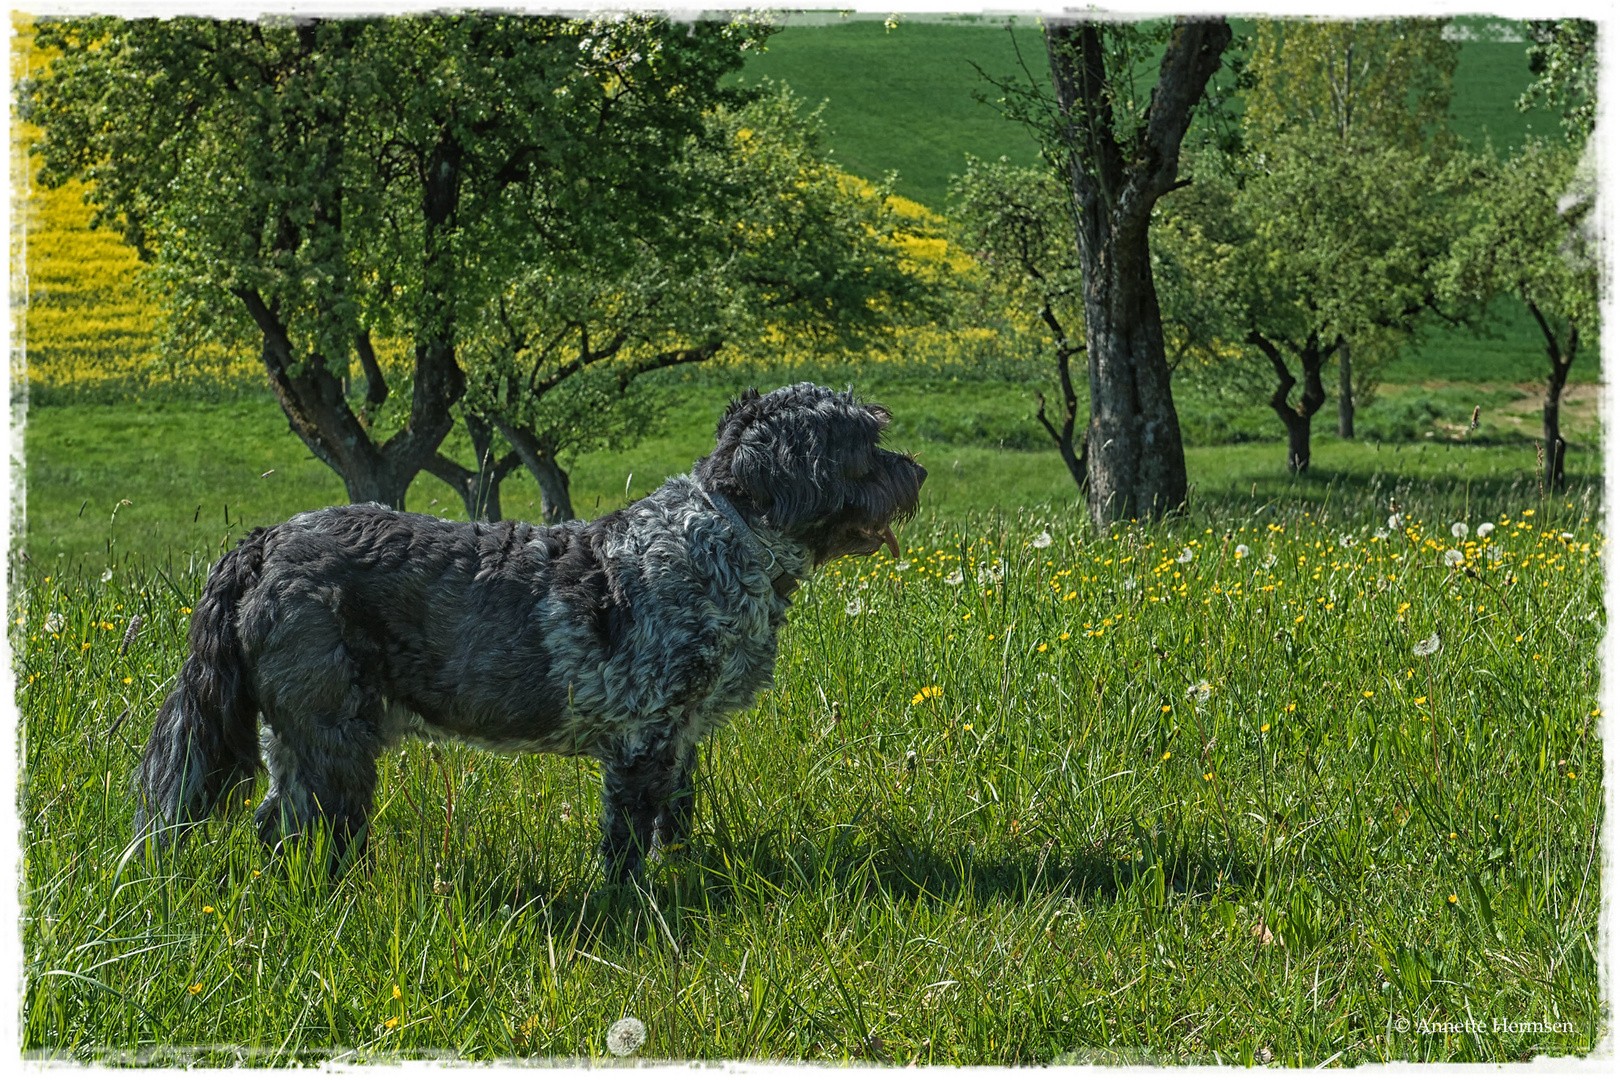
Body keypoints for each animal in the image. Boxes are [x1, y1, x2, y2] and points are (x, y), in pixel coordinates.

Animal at [139, 383, 926, 880]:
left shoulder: (682, 736)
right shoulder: (642, 736)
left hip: (296, 735)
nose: (916, 472)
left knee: (274, 828)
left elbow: (674, 821)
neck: (727, 531)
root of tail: (264, 543)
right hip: (334, 733)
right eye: (865, 443)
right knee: (323, 833)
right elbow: (626, 841)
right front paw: (630, 904)